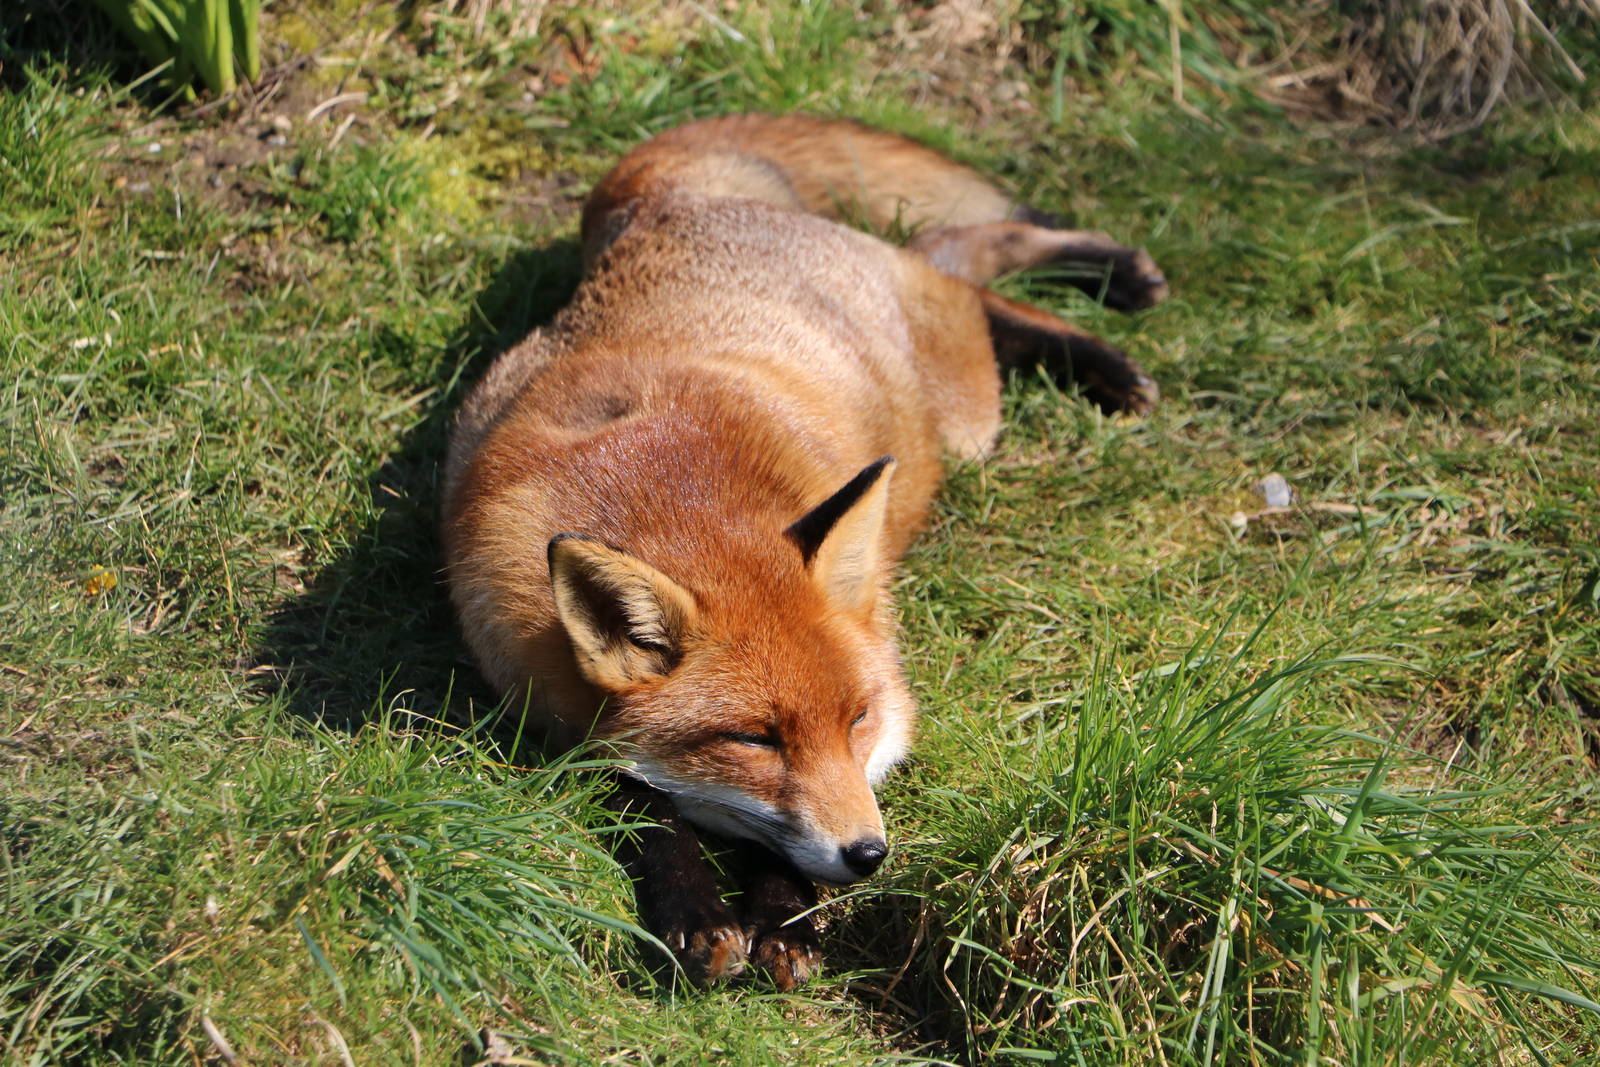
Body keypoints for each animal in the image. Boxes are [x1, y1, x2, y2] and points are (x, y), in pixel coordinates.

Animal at [440, 113, 1167, 989]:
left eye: (856, 720)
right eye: (756, 740)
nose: (870, 854)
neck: (674, 495)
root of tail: (665, 203)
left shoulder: (889, 708)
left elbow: (781, 836)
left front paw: (783, 917)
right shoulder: (535, 694)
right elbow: (645, 803)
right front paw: (697, 911)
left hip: (966, 410)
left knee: (968, 260)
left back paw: (1112, 322)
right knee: (959, 260)